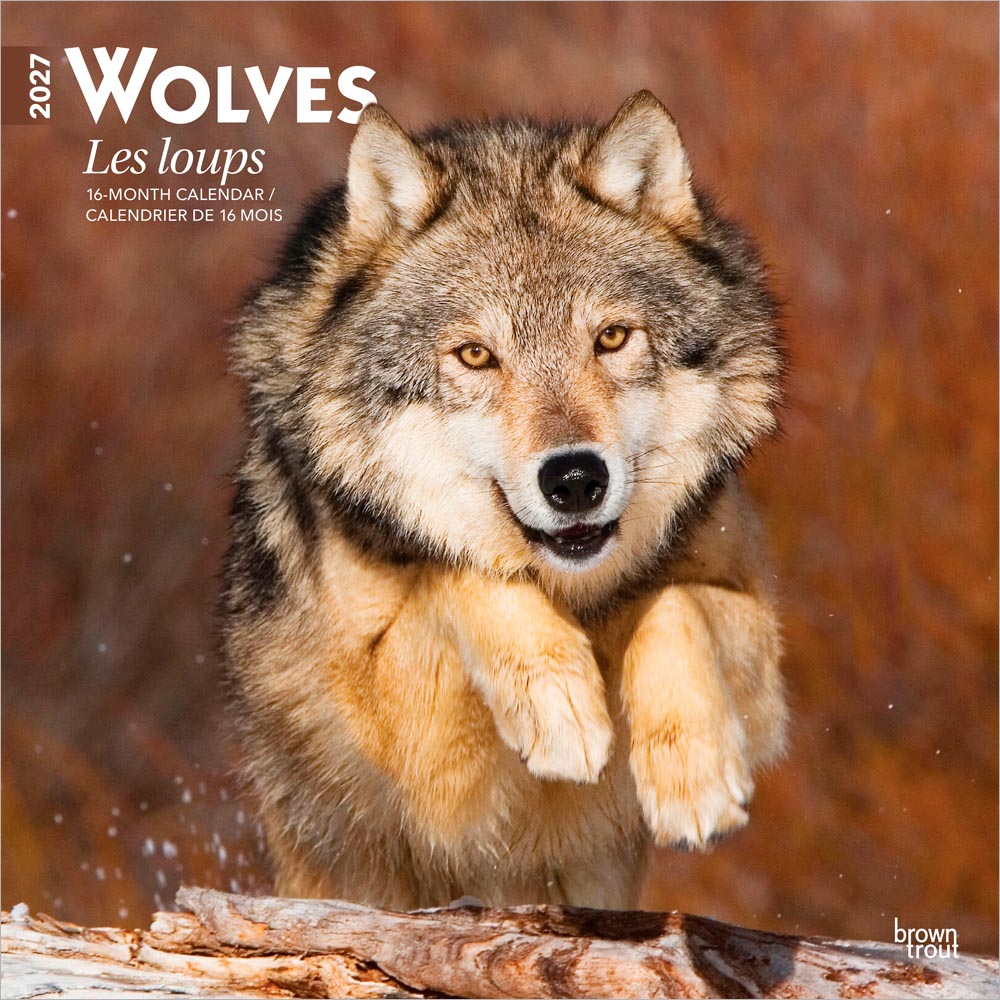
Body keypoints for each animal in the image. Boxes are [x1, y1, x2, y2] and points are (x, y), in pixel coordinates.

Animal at [222, 90, 787, 910]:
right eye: (475, 355)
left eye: (611, 338)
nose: (576, 479)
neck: (574, 594)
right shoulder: (417, 755)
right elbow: (455, 572)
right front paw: (559, 700)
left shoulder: (759, 649)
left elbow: (669, 602)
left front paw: (695, 780)